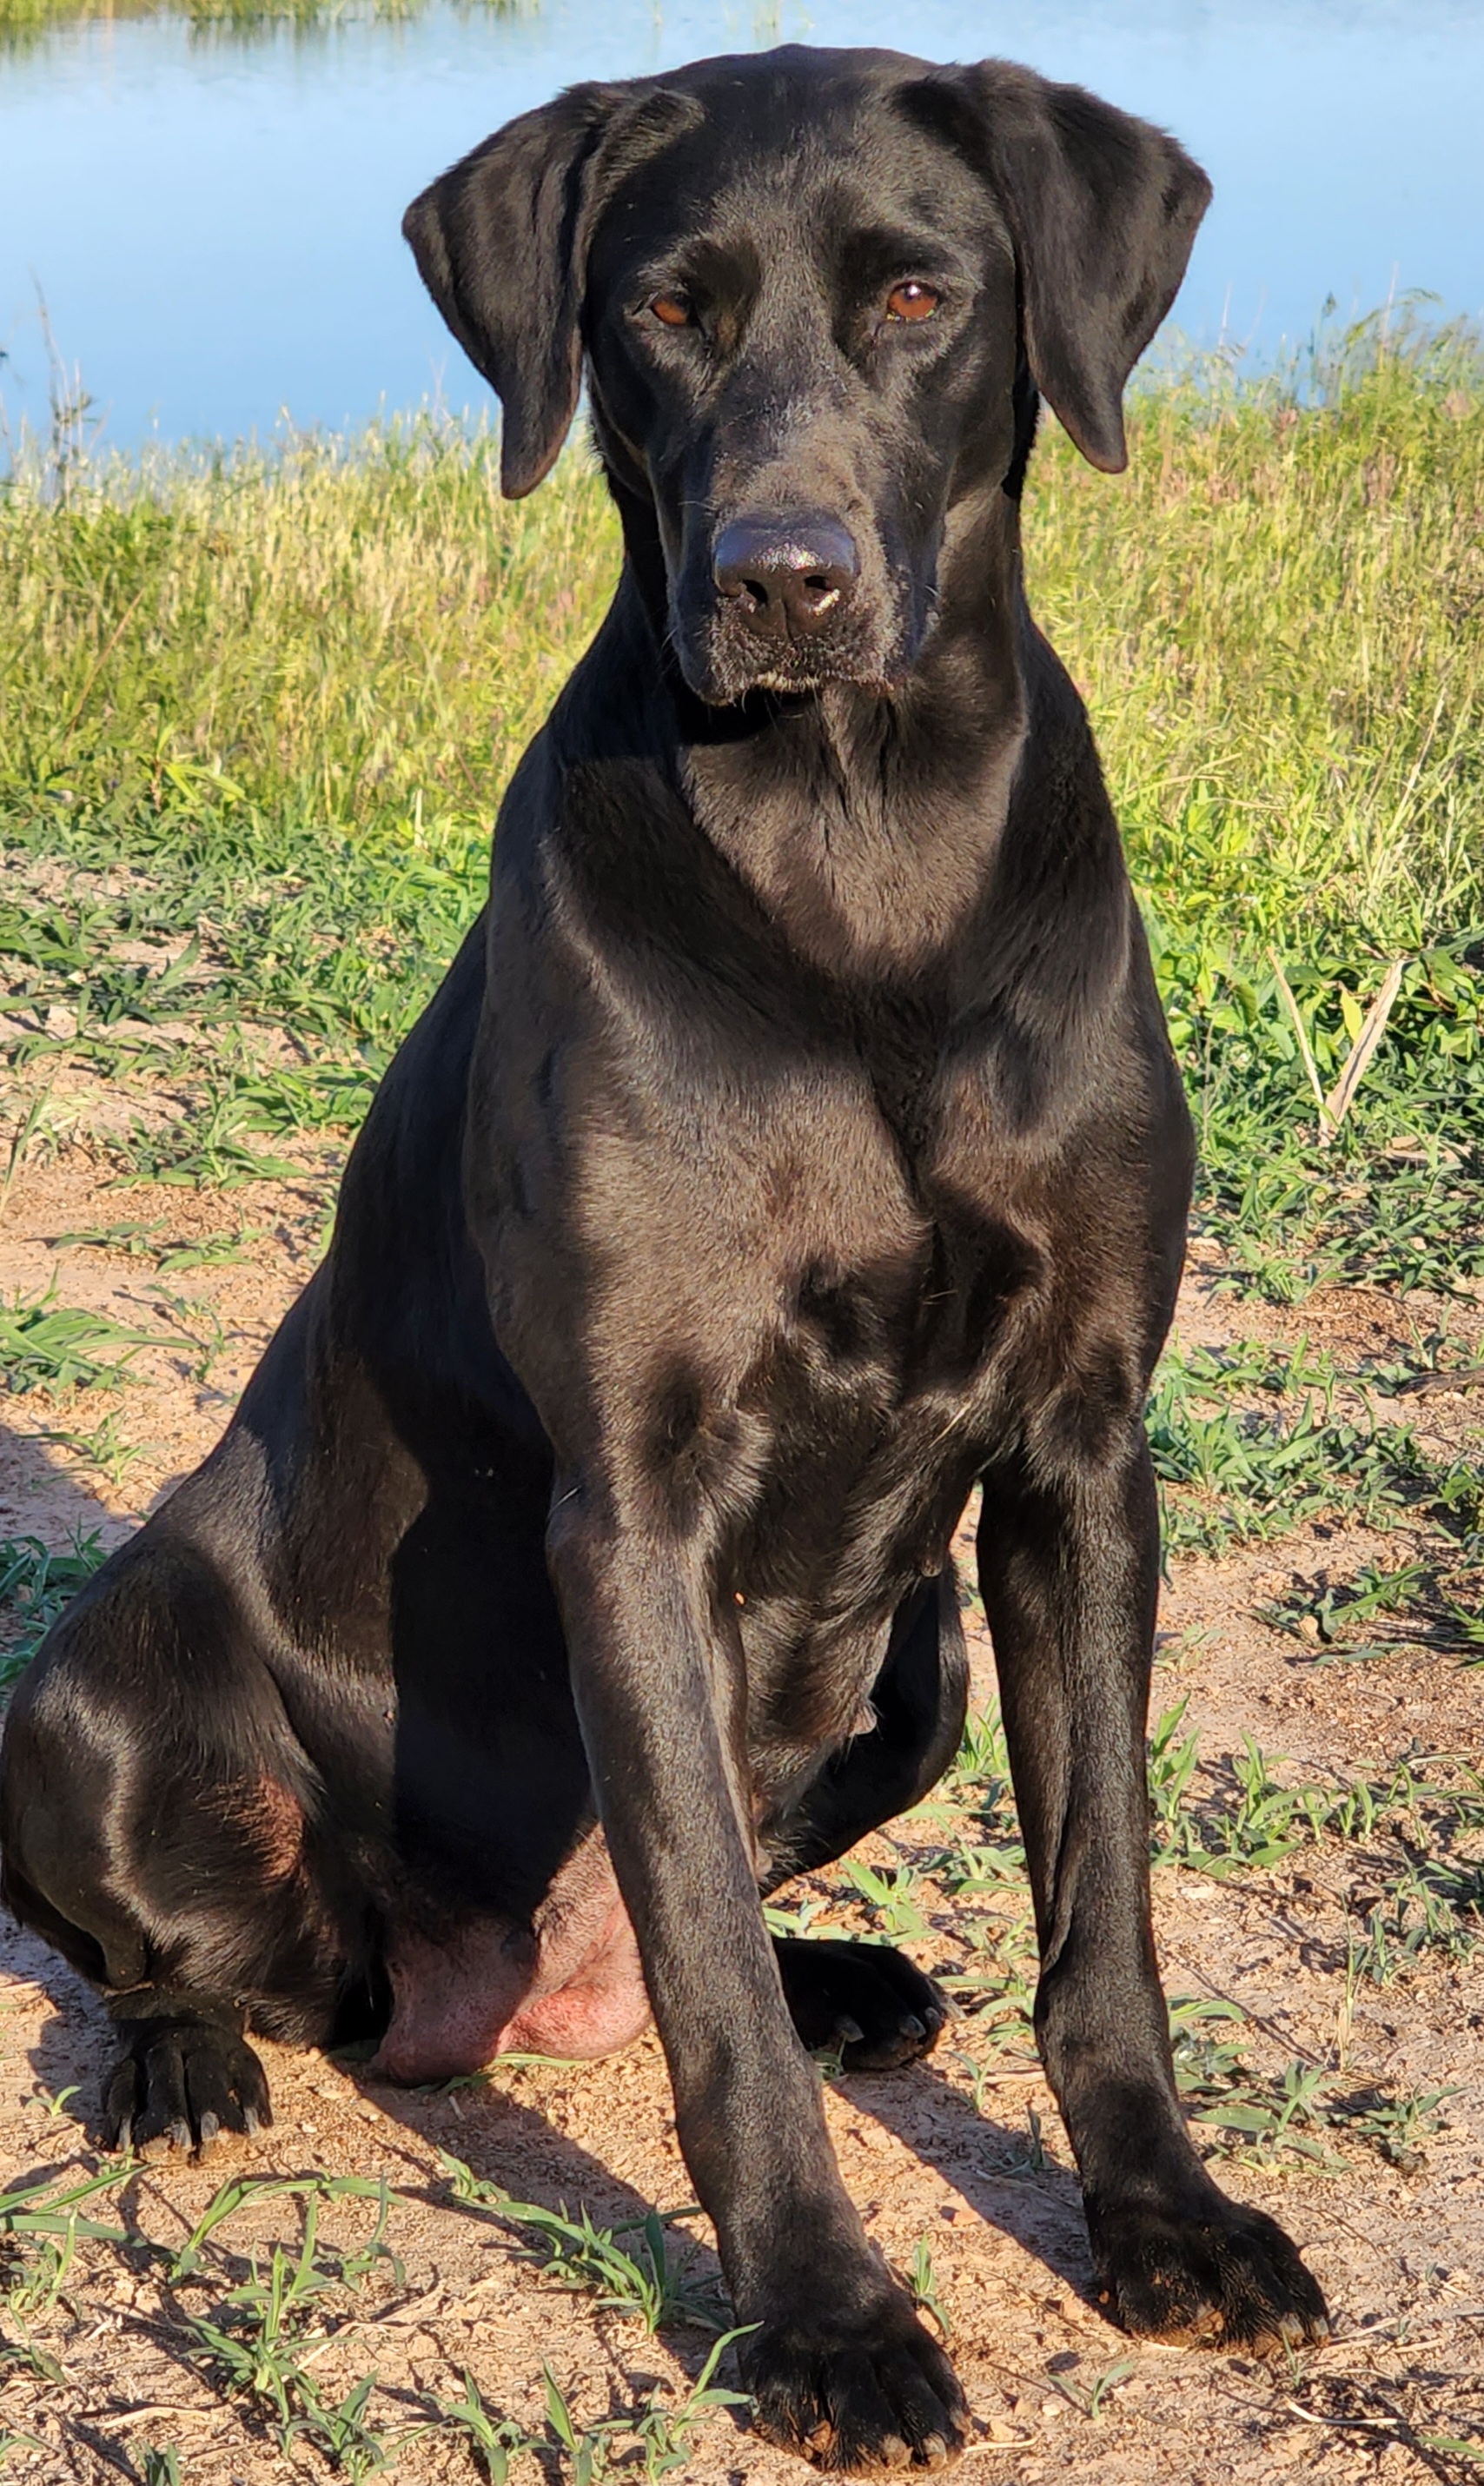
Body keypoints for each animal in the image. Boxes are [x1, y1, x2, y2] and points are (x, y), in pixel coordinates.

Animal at [0, 48, 1322, 2476]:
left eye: (916, 294)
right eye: (663, 312)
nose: (780, 578)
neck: (860, 842)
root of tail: (464, 1993)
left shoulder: (1083, 1455)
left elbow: (1101, 1908)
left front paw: (1164, 2212)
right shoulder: (633, 1500)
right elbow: (705, 1962)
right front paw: (821, 2314)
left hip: (915, 1665)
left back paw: (856, 1981)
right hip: (102, 1681)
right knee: (180, 1946)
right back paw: (189, 2055)